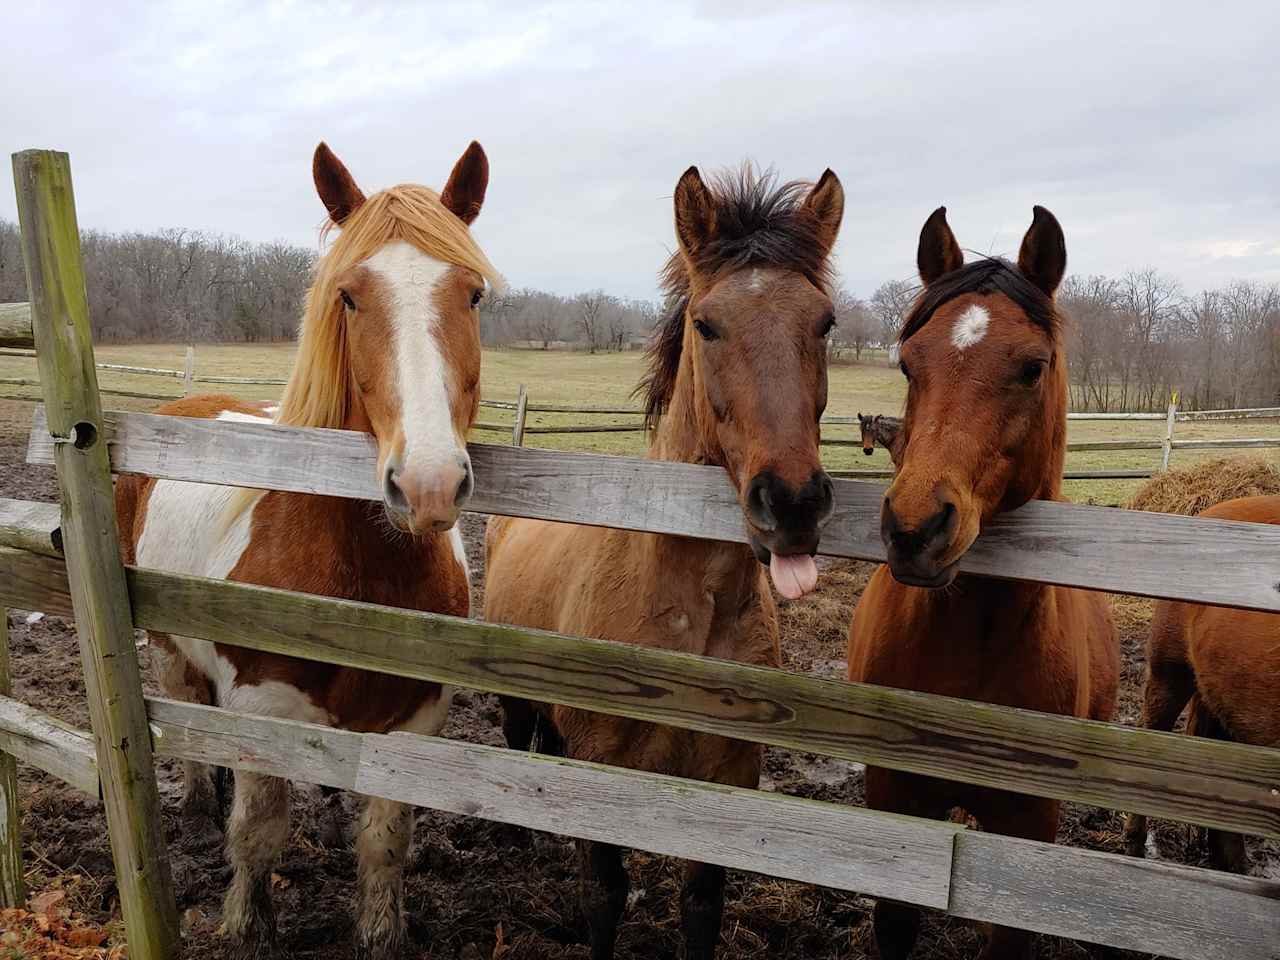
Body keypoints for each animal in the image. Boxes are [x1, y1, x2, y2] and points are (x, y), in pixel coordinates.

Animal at [113, 140, 499, 960]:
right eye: (349, 296)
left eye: (474, 295)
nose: (427, 485)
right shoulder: (265, 709)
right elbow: (258, 835)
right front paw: (247, 926)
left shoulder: (413, 721)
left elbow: (384, 844)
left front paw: (381, 934)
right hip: (169, 646)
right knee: (191, 716)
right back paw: (197, 800)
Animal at [483, 165, 844, 960]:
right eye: (706, 325)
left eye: (825, 323)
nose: (793, 504)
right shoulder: (605, 768)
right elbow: (605, 895)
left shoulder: (728, 776)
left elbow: (701, 903)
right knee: (518, 741)